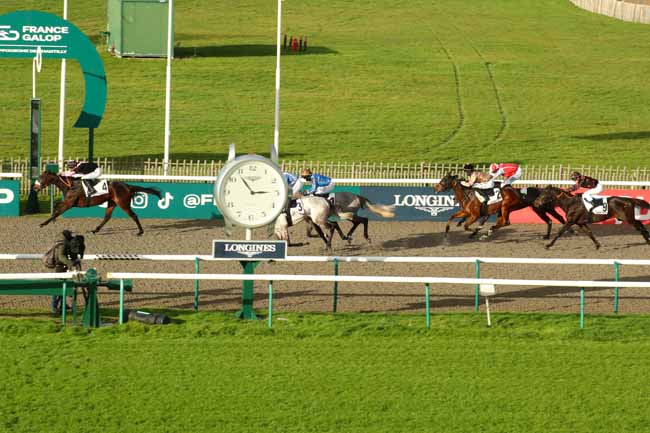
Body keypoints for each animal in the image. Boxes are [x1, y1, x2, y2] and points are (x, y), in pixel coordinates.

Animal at [32, 170, 161, 236]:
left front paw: (43, 223)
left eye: (41, 178)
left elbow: (57, 211)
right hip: (112, 203)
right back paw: (95, 230)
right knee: (107, 217)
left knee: (133, 215)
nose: (34, 187)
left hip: (123, 203)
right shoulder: (68, 202)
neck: (70, 185)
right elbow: (55, 206)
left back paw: (140, 232)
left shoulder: (69, 204)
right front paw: (51, 220)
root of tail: (127, 186)